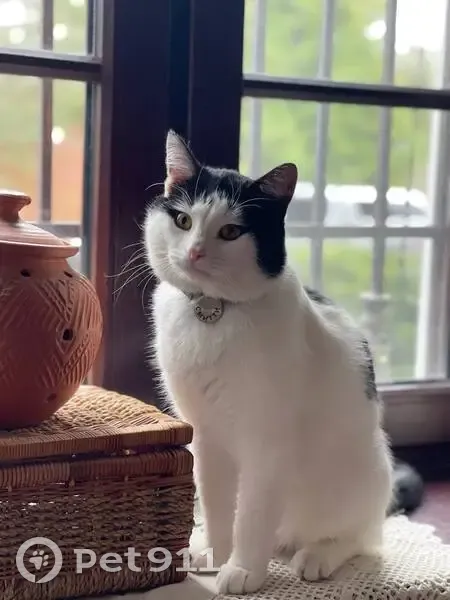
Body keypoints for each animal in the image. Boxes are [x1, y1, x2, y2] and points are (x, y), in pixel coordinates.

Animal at [144, 130, 405, 595]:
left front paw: (243, 569)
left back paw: (316, 556)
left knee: (361, 538)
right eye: (183, 222)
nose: (194, 253)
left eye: (231, 231)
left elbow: (251, 514)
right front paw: (216, 553)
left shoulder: (267, 443)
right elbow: (216, 504)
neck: (213, 314)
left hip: (364, 472)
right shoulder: (206, 435)